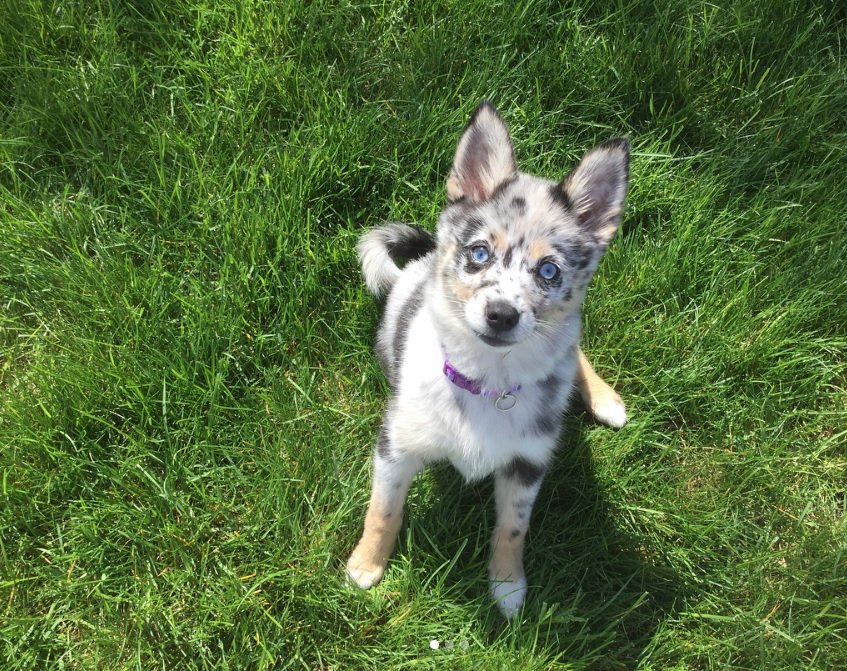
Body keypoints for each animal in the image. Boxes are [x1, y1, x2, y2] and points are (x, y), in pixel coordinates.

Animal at [344, 101, 628, 620]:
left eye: (549, 270)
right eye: (479, 253)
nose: (502, 314)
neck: (488, 379)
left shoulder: (527, 464)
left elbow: (513, 527)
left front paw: (507, 585)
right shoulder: (397, 446)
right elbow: (383, 510)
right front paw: (365, 566)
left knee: (572, 343)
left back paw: (606, 400)